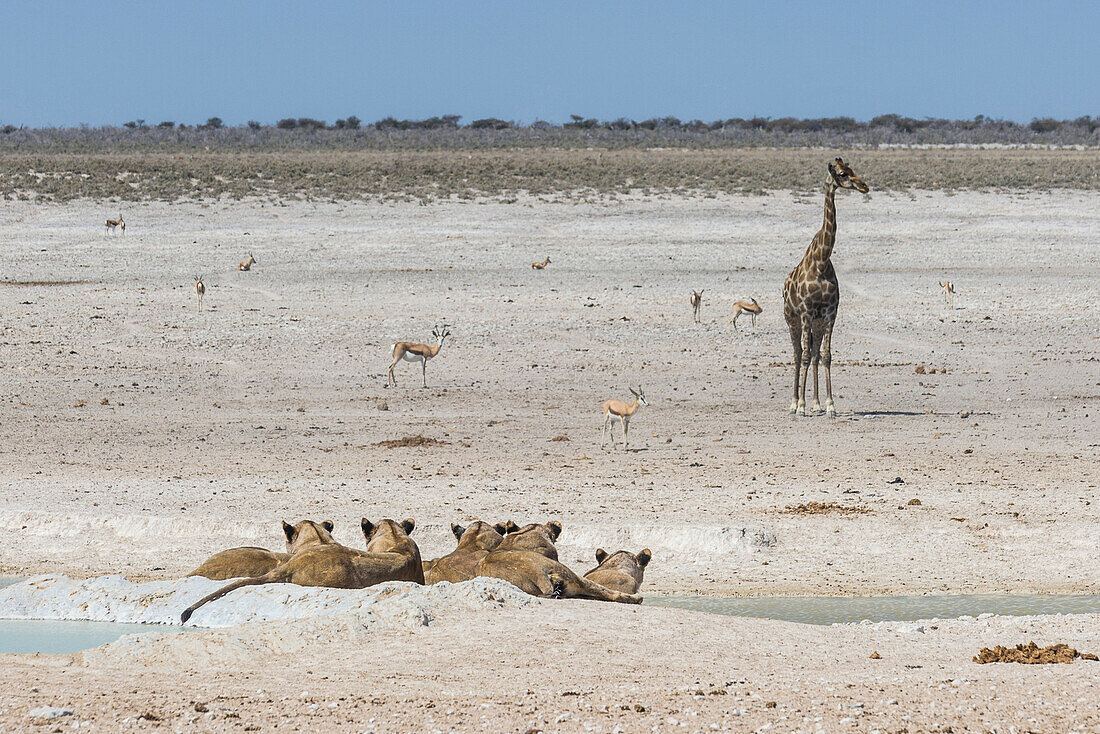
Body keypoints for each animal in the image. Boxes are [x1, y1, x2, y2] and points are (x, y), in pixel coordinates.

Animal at [783, 158, 866, 415]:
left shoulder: (829, 312)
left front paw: (828, 405)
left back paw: (816, 404)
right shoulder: (806, 312)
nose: (864, 186)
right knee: (798, 354)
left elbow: (826, 355)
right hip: (792, 319)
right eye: (842, 174)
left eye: (853, 170)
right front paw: (800, 406)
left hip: (817, 322)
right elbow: (804, 356)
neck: (821, 260)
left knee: (814, 353)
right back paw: (794, 403)